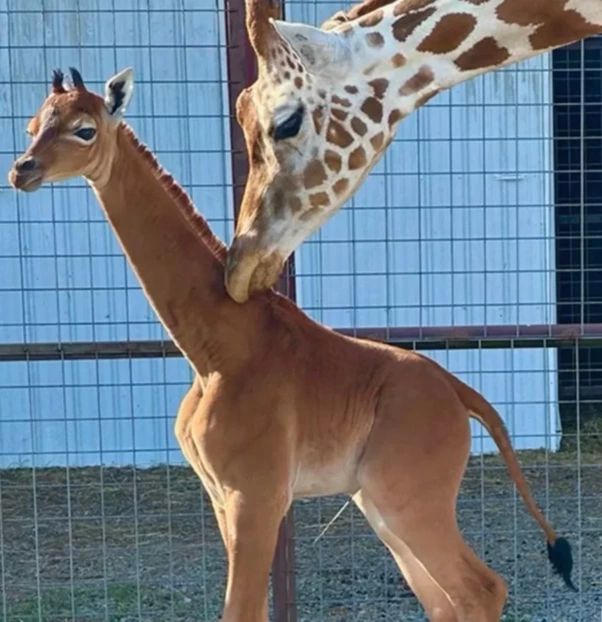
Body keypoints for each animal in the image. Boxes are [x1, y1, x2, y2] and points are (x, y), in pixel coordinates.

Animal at [8, 66, 572, 620]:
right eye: (32, 124)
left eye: (85, 129)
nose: (22, 170)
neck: (214, 348)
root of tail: (461, 394)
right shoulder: (223, 496)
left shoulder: (255, 494)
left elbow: (240, 609)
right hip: (380, 503)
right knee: (447, 601)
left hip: (407, 496)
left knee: (481, 588)